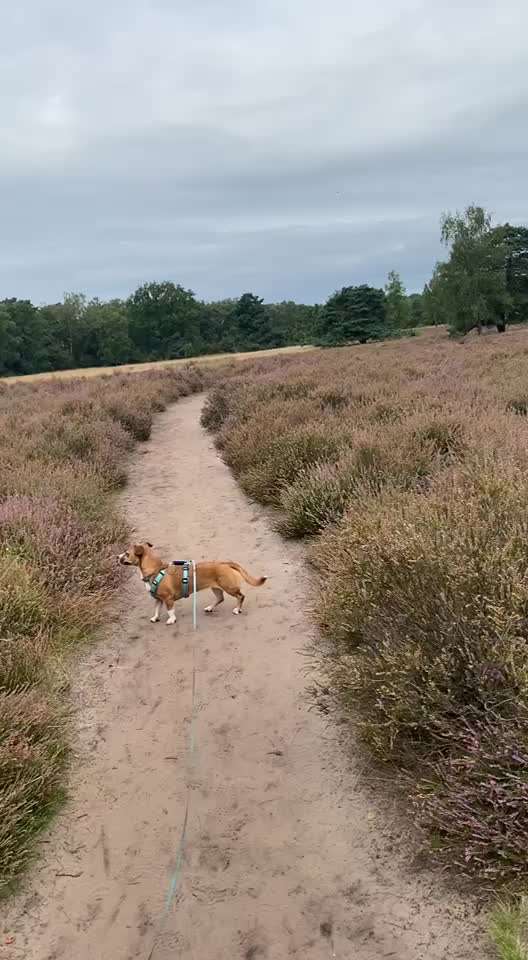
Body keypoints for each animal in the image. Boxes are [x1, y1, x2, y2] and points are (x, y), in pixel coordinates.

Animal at [117, 544, 266, 628]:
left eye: (126, 553)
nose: (116, 557)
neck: (155, 569)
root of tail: (225, 563)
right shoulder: (158, 599)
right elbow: (157, 610)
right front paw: (155, 618)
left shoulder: (168, 599)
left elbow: (170, 611)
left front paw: (171, 620)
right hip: (216, 588)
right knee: (220, 599)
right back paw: (210, 608)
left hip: (229, 587)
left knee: (241, 596)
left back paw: (237, 609)